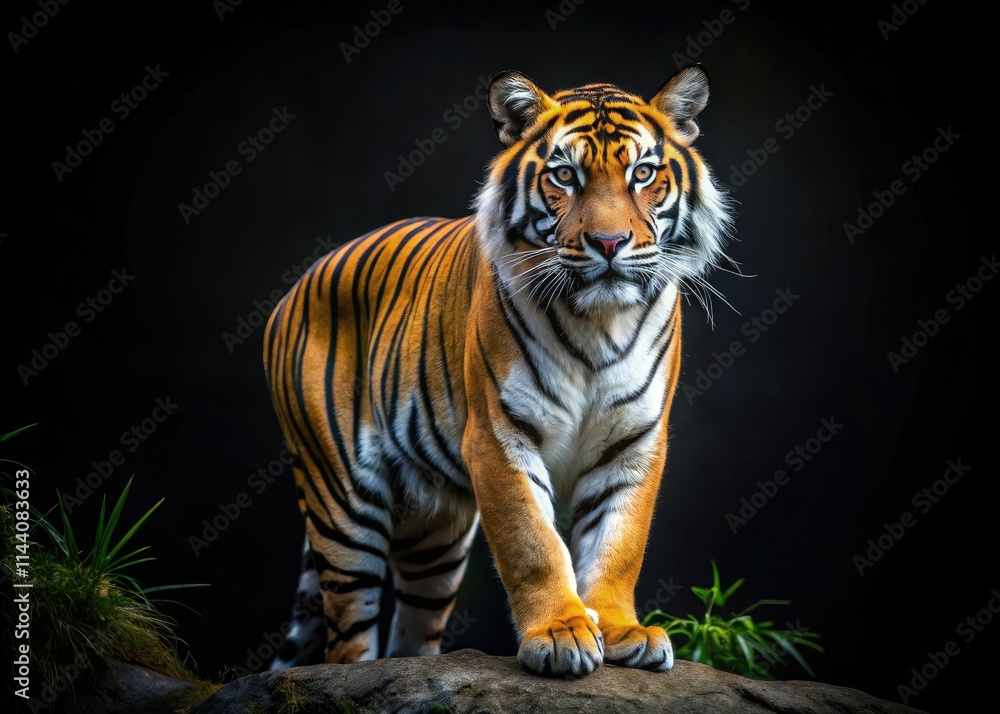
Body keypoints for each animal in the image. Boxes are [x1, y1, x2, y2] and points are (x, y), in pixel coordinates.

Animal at [262, 65, 734, 678]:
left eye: (643, 173)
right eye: (565, 175)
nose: (609, 243)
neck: (598, 321)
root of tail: (297, 285)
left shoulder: (634, 442)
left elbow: (618, 543)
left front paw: (624, 631)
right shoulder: (497, 435)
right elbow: (531, 541)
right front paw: (559, 634)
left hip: (433, 537)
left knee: (412, 635)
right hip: (342, 505)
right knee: (347, 641)